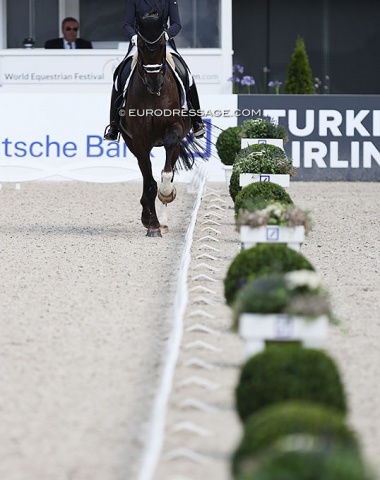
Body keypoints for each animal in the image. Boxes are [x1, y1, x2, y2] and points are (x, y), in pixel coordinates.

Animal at [119, 14, 196, 239]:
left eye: (162, 44)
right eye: (141, 45)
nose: (154, 82)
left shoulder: (175, 130)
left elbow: (166, 173)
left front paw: (166, 194)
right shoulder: (139, 140)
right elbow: (149, 181)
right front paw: (151, 223)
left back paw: (164, 218)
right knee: (147, 175)